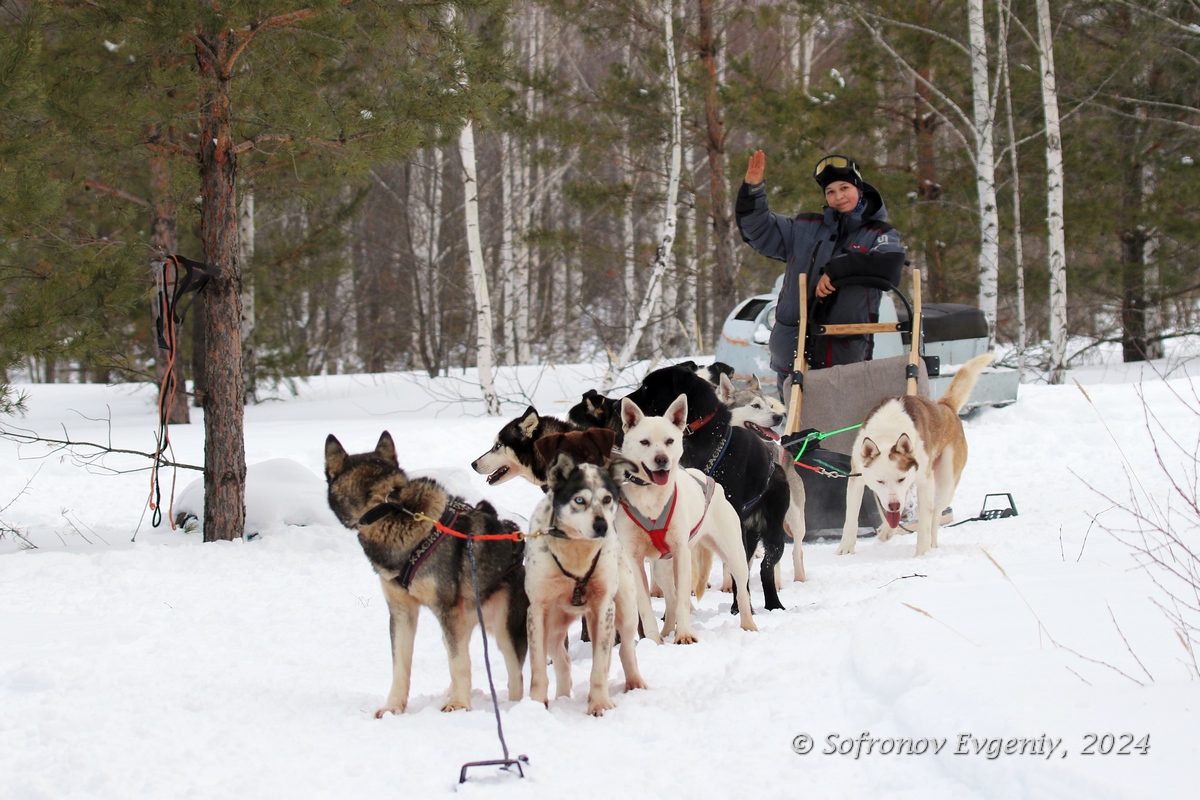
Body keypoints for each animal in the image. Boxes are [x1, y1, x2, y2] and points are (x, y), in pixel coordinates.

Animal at [324, 434, 525, 714]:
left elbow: (459, 663)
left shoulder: (447, 610)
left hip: (505, 627)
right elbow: (401, 666)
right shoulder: (402, 612)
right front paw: (393, 707)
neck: (388, 510)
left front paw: (459, 705)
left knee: (515, 675)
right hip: (463, 621)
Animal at [525, 453, 652, 714]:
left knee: (625, 649)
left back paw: (634, 681)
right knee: (562, 660)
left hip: (624, 610)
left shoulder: (603, 607)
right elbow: (538, 667)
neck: (576, 554)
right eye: (579, 499)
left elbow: (600, 664)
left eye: (607, 499)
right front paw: (535, 704)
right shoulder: (537, 611)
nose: (602, 525)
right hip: (553, 625)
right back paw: (562, 697)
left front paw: (600, 703)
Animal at [614, 395, 753, 642]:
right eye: (644, 442)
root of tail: (708, 479)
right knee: (669, 598)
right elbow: (646, 604)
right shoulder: (635, 558)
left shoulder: (681, 552)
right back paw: (666, 631)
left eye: (669, 440)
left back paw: (748, 626)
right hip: (661, 568)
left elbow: (682, 602)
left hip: (733, 554)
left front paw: (685, 635)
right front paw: (654, 641)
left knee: (741, 589)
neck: (651, 499)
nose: (662, 459)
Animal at [835, 355, 993, 556]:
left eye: (901, 478)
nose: (894, 505)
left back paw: (931, 542)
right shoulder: (857, 479)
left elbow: (924, 521)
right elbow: (851, 517)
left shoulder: (924, 482)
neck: (888, 435)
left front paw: (922, 552)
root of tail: (945, 407)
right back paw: (888, 528)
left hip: (945, 485)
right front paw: (846, 547)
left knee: (935, 514)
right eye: (880, 481)